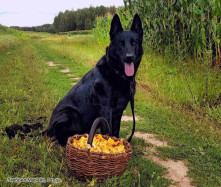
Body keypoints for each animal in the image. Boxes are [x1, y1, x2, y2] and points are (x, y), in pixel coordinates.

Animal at [46, 14, 143, 146]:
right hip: (70, 114)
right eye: (121, 44)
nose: (129, 57)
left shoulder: (118, 112)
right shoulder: (106, 111)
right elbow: (108, 133)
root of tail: (47, 129)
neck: (116, 72)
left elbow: (115, 133)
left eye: (134, 43)